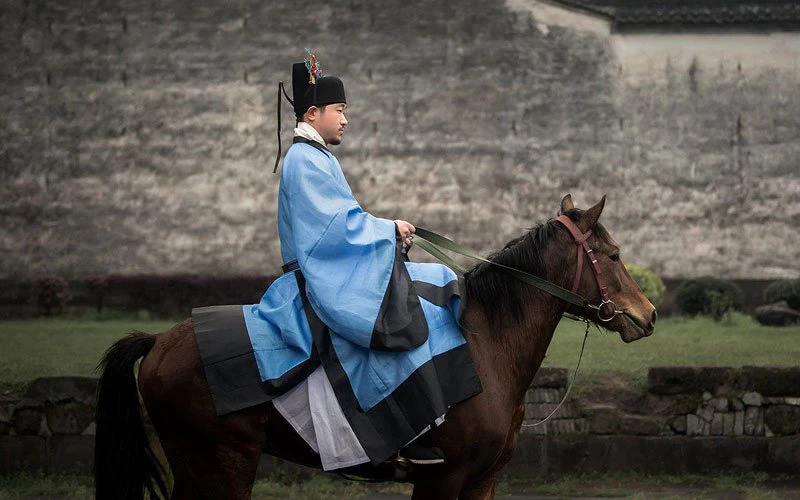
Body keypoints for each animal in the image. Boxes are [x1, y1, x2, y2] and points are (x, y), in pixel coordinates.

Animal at [94, 195, 656, 500]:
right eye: (613, 254)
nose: (648, 314)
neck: (488, 346)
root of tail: (161, 342)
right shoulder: (441, 481)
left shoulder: (482, 481)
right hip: (222, 464)